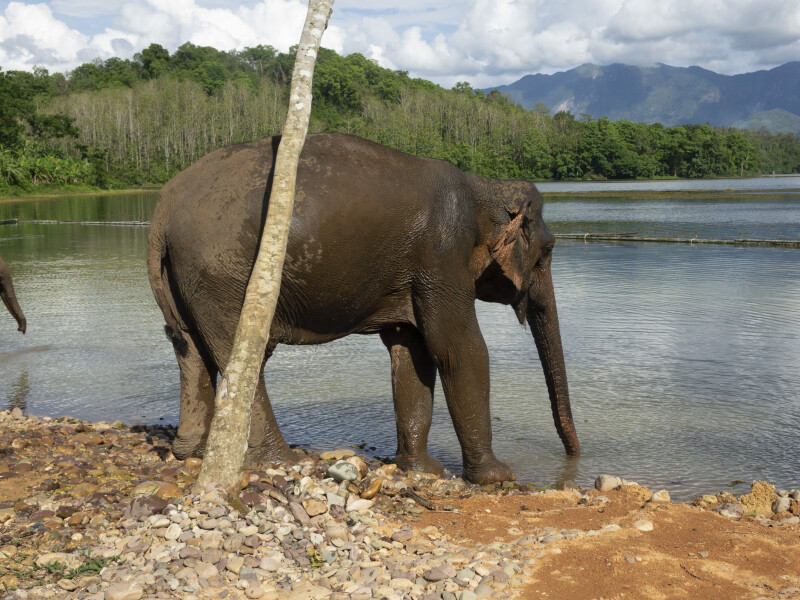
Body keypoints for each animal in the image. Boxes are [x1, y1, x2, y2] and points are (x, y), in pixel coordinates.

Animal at [147, 133, 579, 484]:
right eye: (548, 251)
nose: (575, 457)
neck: (482, 187)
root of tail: (163, 210)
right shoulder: (442, 256)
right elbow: (459, 350)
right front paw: (497, 477)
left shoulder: (415, 273)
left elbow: (412, 354)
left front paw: (423, 470)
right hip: (222, 272)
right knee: (244, 355)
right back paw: (279, 461)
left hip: (188, 276)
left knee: (190, 348)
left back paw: (191, 452)